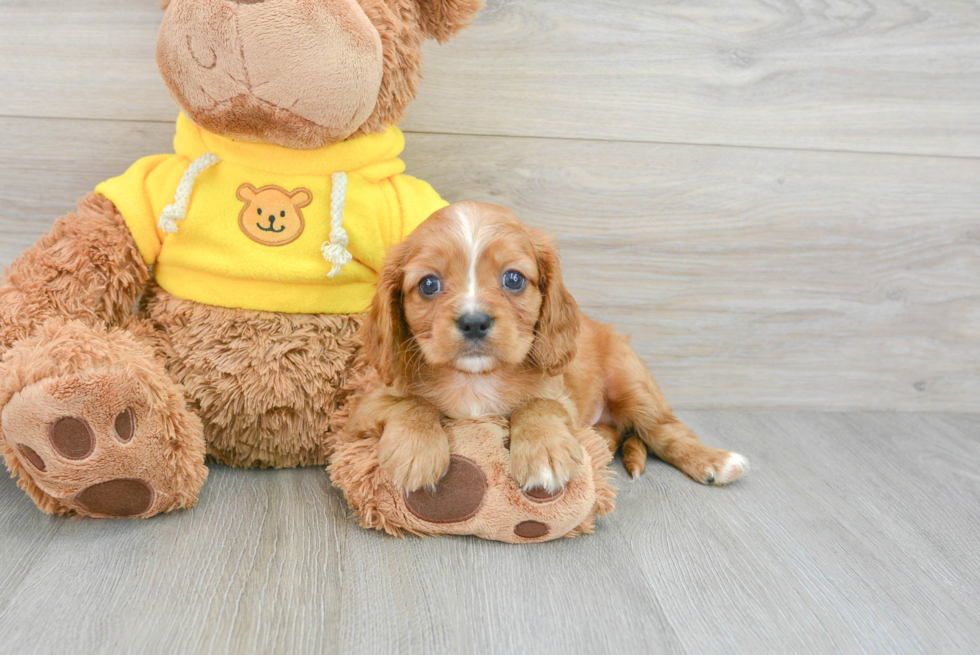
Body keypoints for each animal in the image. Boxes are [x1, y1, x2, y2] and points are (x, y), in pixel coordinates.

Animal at [360, 202, 752, 494]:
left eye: (513, 279)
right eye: (429, 284)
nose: (473, 322)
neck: (476, 378)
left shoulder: (559, 395)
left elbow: (536, 404)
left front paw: (543, 452)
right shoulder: (362, 408)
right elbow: (411, 402)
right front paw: (416, 450)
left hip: (634, 385)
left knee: (664, 431)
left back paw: (713, 461)